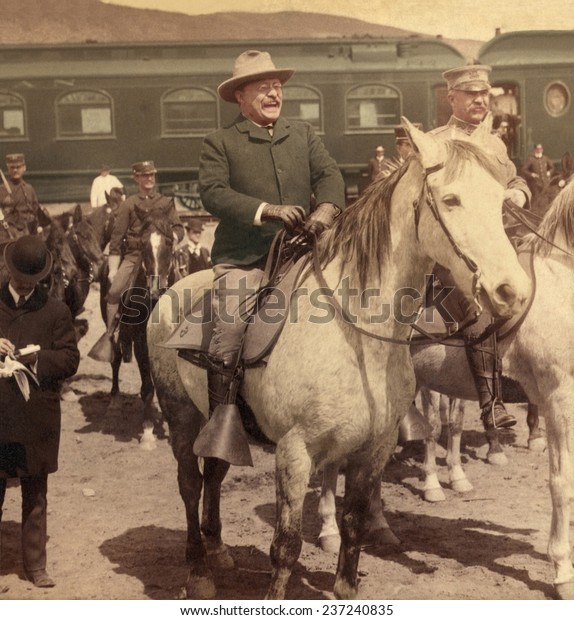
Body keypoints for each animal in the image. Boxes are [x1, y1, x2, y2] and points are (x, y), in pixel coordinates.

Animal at [147, 117, 532, 600]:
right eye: (450, 199)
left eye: (501, 200)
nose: (511, 290)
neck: (358, 337)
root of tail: (172, 290)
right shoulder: (294, 452)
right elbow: (286, 546)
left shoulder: (373, 449)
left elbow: (353, 527)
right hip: (180, 414)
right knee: (190, 484)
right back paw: (199, 571)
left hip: (216, 420)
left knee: (214, 474)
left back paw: (218, 552)